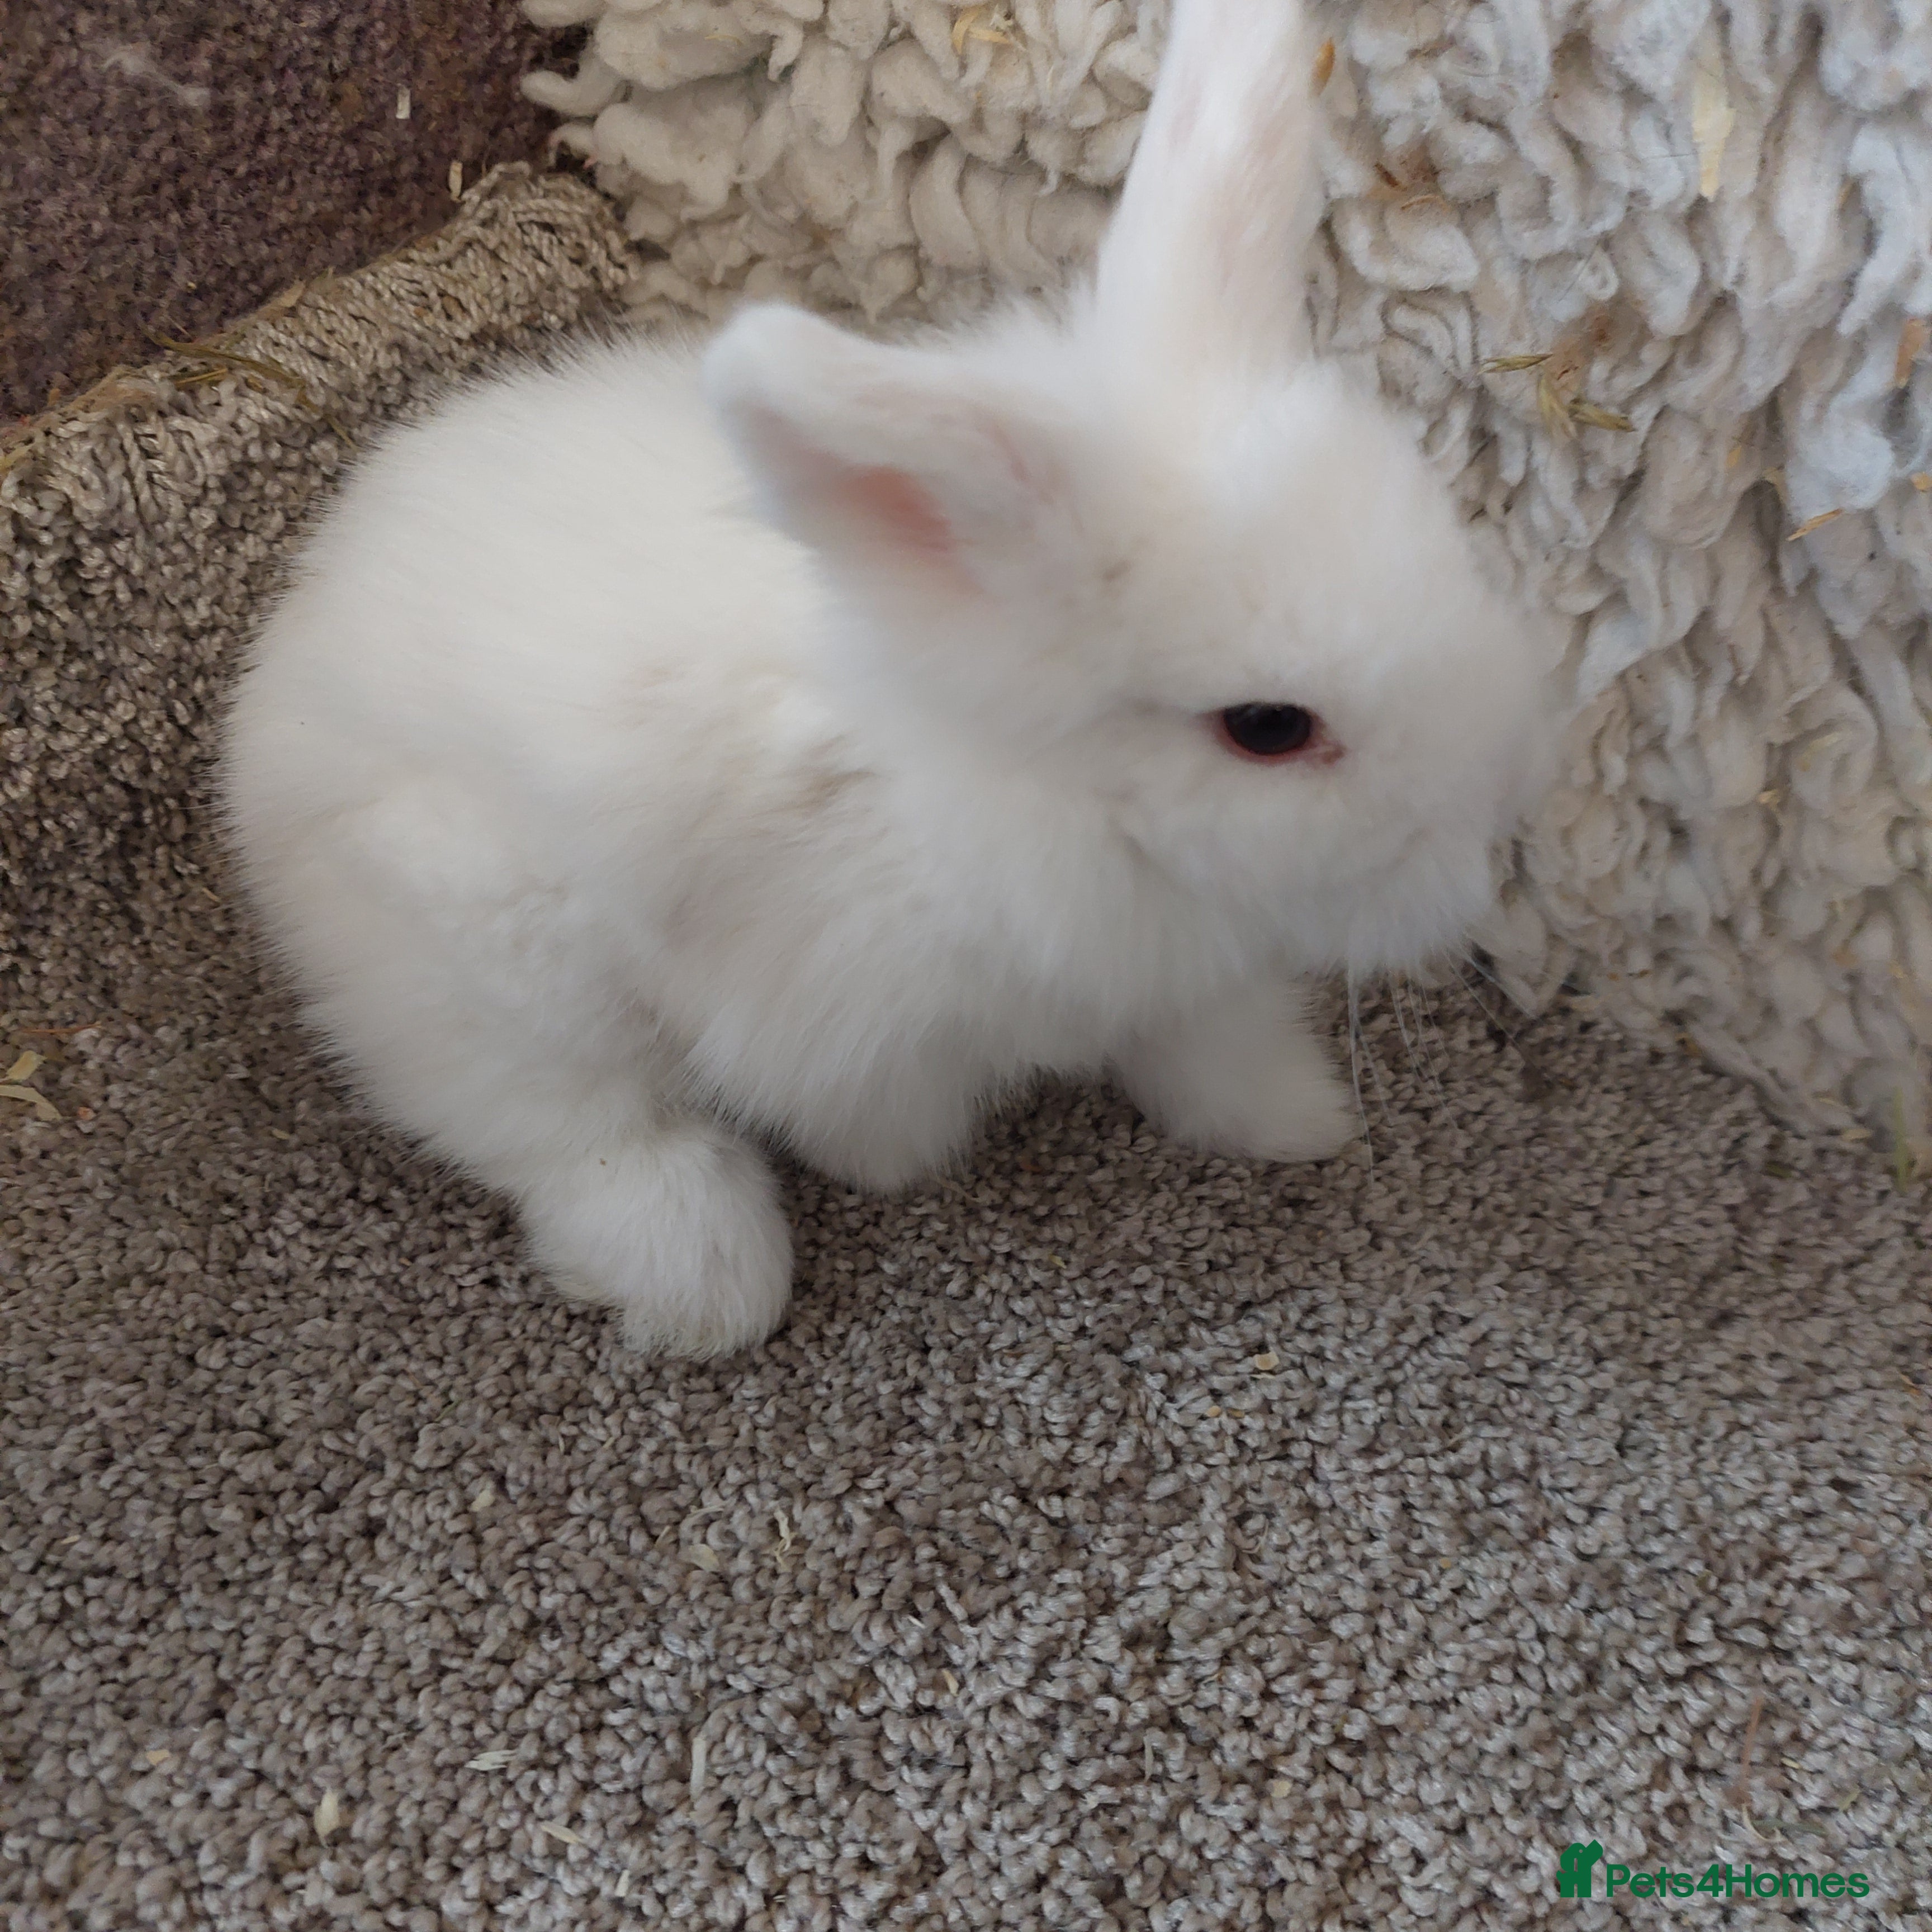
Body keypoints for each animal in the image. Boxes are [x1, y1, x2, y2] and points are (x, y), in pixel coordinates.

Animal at [221, 0, 1559, 1358]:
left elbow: (1206, 1047)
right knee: (569, 1123)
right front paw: (897, 1169)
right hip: (485, 940)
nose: (1476, 856)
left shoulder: (1169, 981)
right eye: (1270, 727)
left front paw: (1294, 1119)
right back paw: (708, 1282)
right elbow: (866, 1116)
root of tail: (281, 677)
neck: (1034, 802)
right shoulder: (848, 1010)